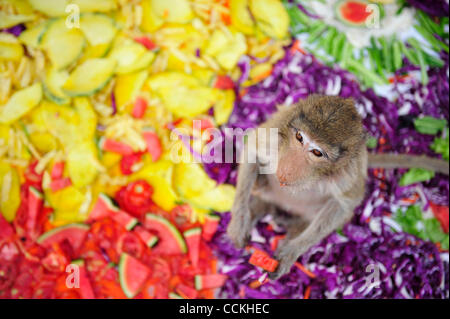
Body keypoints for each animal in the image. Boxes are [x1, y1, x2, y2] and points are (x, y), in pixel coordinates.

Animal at [229, 94, 450, 280]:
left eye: (317, 152)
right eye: (299, 138)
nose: (287, 169)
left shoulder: (348, 173)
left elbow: (344, 205)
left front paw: (292, 250)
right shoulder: (274, 137)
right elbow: (252, 149)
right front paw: (239, 223)